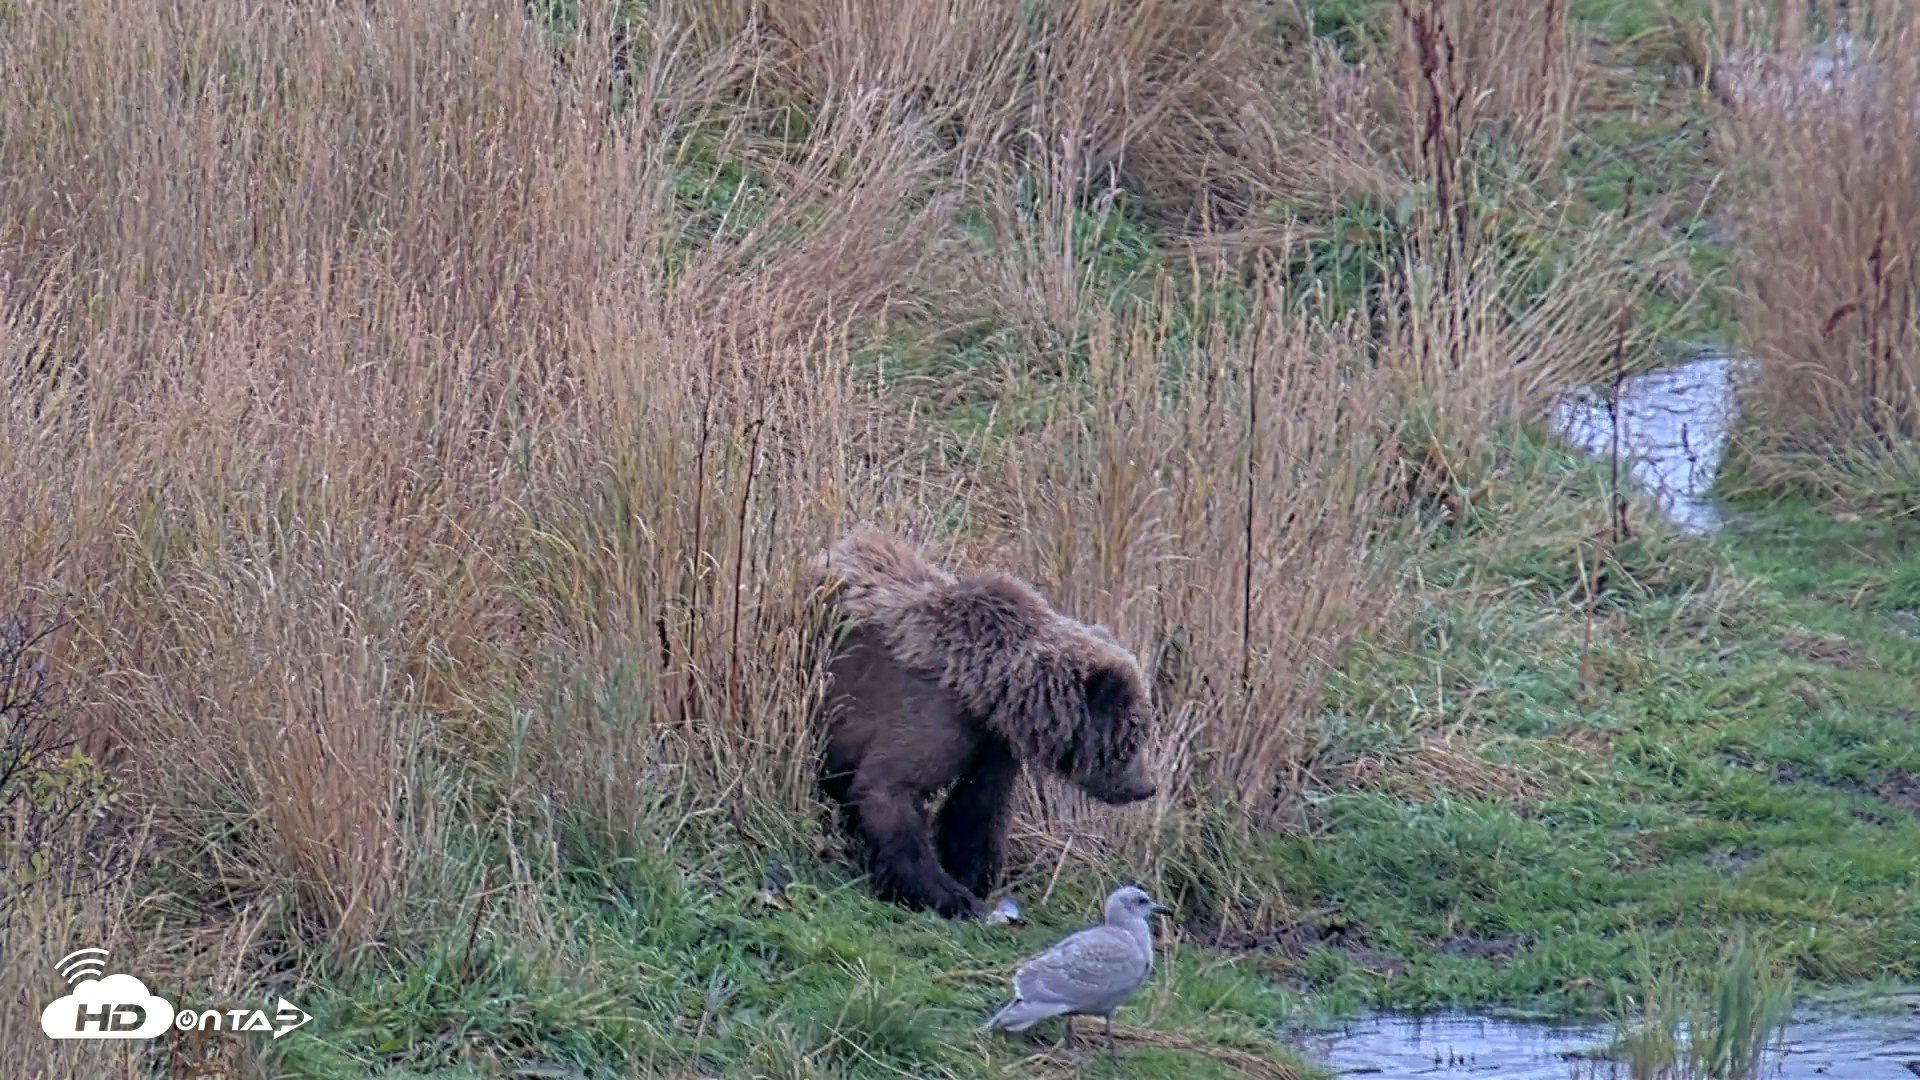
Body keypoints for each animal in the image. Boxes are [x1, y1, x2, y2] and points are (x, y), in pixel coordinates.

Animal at [805, 523, 1158, 920]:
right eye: (1133, 737)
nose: (1145, 787)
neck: (995, 691)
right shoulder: (930, 718)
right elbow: (889, 788)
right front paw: (950, 895)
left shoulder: (992, 745)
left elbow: (978, 808)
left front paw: (975, 876)